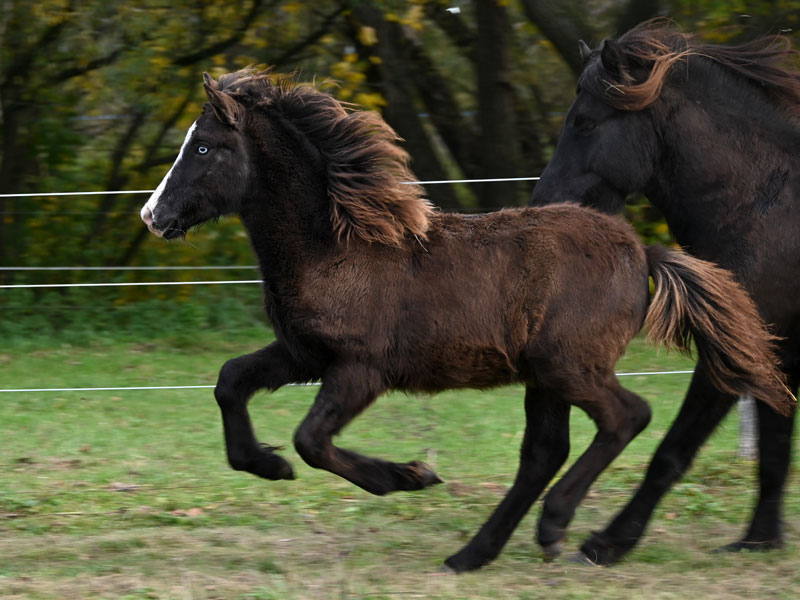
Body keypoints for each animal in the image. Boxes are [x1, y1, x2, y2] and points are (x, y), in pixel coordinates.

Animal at [139, 69, 792, 572]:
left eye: (203, 147)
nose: (153, 215)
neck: (336, 245)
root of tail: (643, 253)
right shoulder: (302, 354)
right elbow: (230, 381)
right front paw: (266, 465)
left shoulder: (360, 370)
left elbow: (313, 440)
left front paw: (408, 475)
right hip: (543, 377)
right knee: (544, 453)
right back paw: (474, 554)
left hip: (569, 366)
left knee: (626, 416)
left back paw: (560, 528)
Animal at [530, 18, 800, 565]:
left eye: (584, 122)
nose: (544, 203)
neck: (766, 208)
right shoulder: (773, 359)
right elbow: (774, 453)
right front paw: (758, 540)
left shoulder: (732, 354)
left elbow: (671, 451)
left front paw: (606, 541)